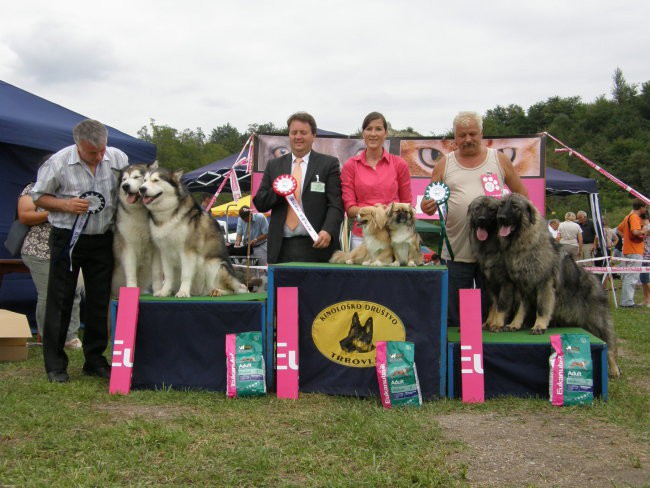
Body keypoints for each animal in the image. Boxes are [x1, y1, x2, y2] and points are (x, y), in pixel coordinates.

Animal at [111, 162, 162, 296]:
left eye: (136, 177)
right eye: (124, 179)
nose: (125, 186)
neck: (140, 212)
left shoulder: (156, 248)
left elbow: (157, 272)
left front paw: (158, 291)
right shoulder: (128, 246)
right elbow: (131, 272)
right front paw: (131, 289)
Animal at [138, 167, 247, 298]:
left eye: (155, 180)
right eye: (144, 180)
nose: (141, 189)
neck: (168, 214)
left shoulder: (187, 251)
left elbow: (185, 274)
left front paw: (183, 292)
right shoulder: (165, 252)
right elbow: (168, 276)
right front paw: (164, 292)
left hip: (213, 265)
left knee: (233, 290)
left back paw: (218, 291)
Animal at [496, 194, 616, 378]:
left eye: (515, 206)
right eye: (502, 205)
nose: (500, 218)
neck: (525, 245)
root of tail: (596, 280)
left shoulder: (544, 285)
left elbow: (542, 308)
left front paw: (539, 326)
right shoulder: (523, 287)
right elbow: (521, 309)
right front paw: (515, 324)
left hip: (597, 321)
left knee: (608, 345)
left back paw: (614, 369)